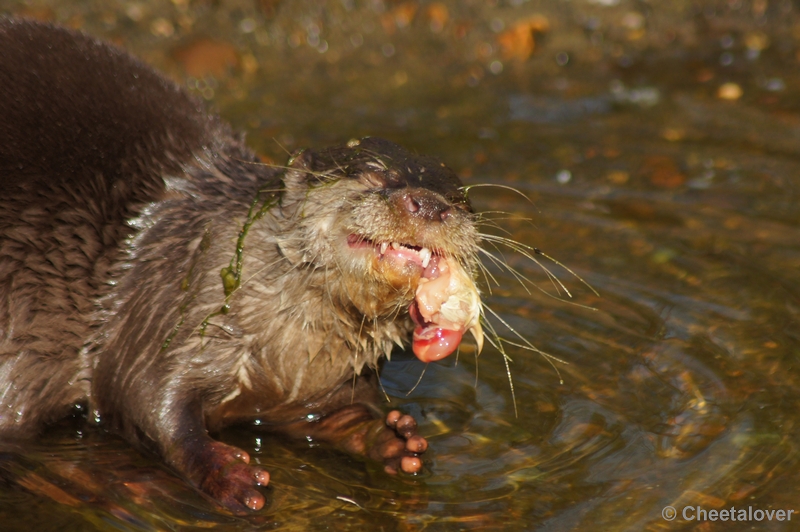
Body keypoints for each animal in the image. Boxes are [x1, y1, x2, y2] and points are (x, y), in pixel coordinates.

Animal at [0, 18, 482, 512]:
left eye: (461, 199)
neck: (286, 350)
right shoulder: (157, 309)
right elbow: (143, 397)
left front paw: (393, 436)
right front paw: (223, 470)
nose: (430, 204)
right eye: (372, 174)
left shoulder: (316, 389)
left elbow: (335, 417)